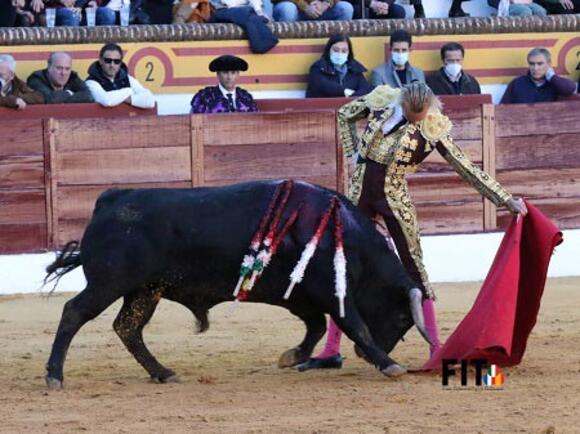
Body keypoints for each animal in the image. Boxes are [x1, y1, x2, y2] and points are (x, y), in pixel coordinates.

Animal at [44, 180, 430, 390]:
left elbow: (317, 326)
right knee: (73, 313)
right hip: (108, 284)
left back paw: (163, 373)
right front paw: (388, 364)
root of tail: (111, 200)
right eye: (402, 319)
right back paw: (55, 377)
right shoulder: (335, 295)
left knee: (128, 328)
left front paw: (292, 357)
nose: (364, 357)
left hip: (144, 291)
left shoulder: (301, 297)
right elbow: (354, 326)